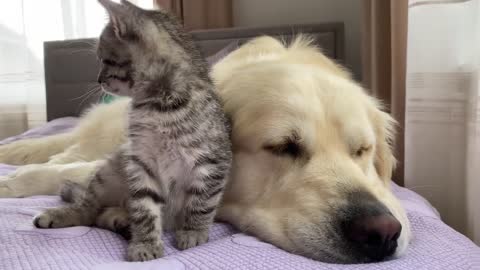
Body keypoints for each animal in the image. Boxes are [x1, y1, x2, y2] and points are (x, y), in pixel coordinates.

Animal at [32, 0, 232, 262]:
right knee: (88, 209)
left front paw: (193, 231)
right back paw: (62, 215)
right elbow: (144, 208)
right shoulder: (140, 163)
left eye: (105, 60)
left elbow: (202, 201)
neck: (159, 107)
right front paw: (145, 243)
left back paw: (120, 220)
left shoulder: (212, 162)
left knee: (100, 215)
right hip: (109, 171)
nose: (98, 80)